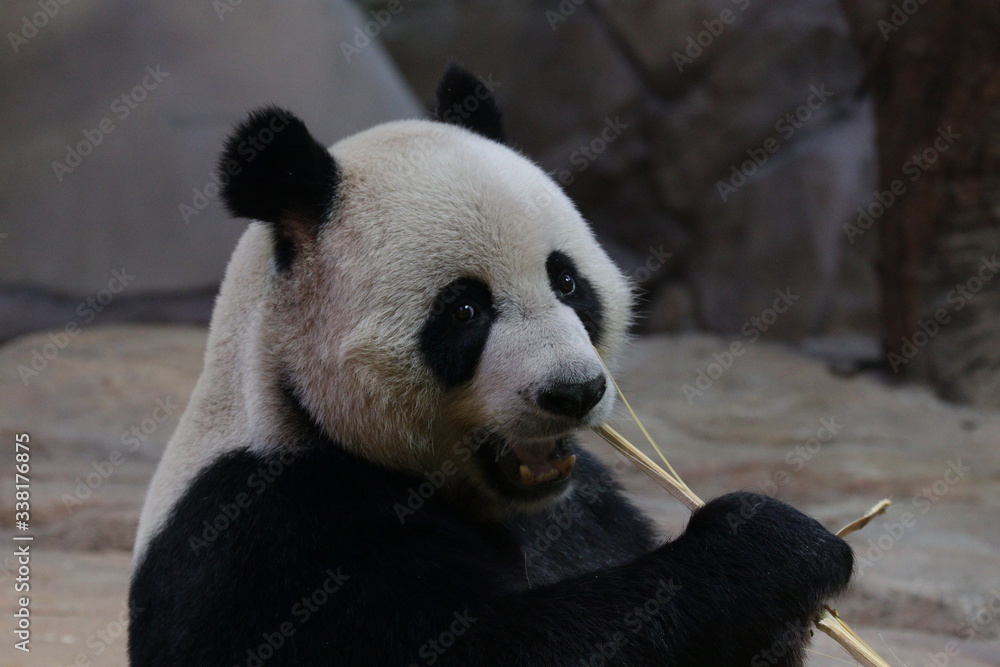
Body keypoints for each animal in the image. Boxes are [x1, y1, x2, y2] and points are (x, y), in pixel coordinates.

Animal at [129, 65, 853, 666]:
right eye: (465, 309)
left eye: (567, 281)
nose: (574, 391)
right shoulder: (271, 536)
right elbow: (492, 645)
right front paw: (769, 544)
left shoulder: (585, 506)